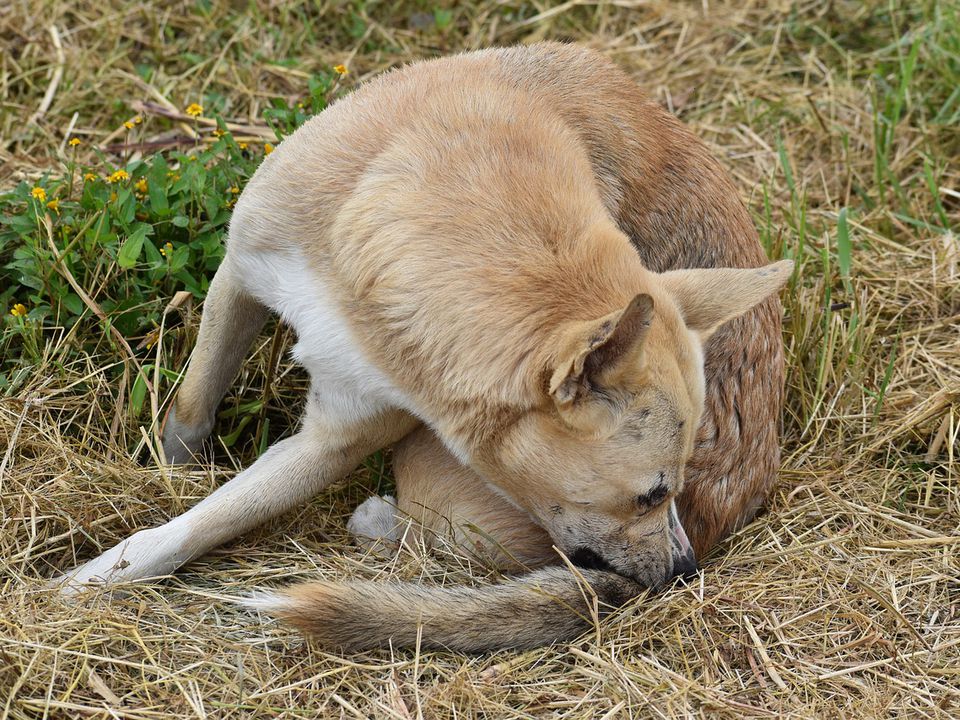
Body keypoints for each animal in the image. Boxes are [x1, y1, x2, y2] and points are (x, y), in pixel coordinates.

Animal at [52, 43, 792, 652]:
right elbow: (192, 409)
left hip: (428, 469)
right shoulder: (240, 275)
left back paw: (381, 521)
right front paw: (168, 475)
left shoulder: (335, 440)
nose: (686, 573)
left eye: (669, 491)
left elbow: (206, 522)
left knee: (438, 540)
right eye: (650, 495)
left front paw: (96, 578)